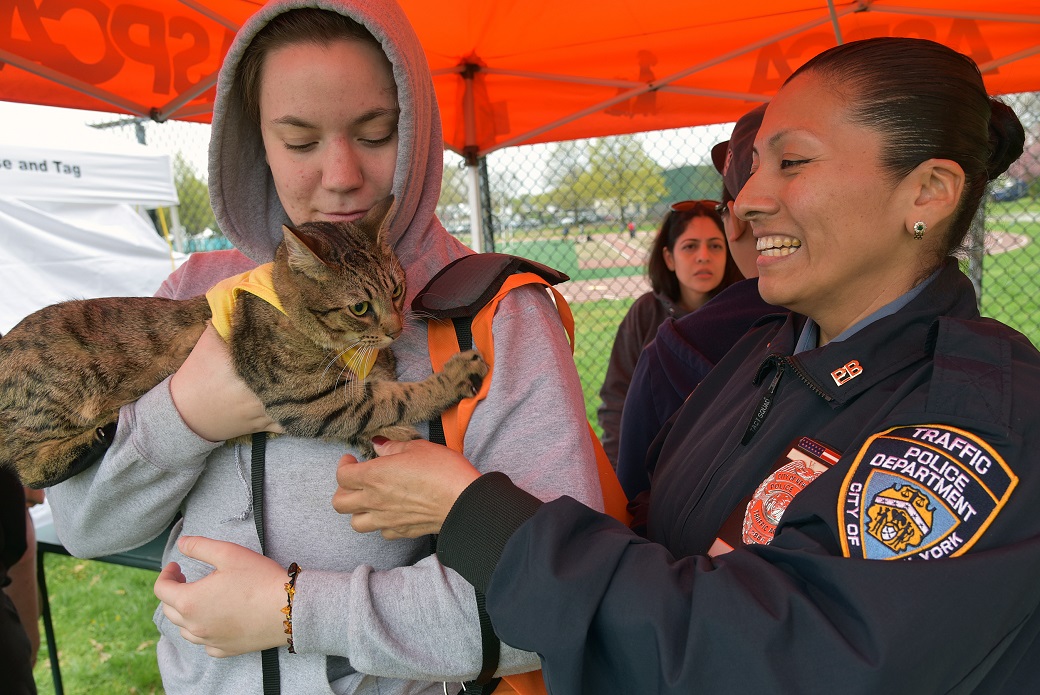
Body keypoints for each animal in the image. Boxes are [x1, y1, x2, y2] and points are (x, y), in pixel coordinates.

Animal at [0, 196, 486, 488]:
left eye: (398, 290)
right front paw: (451, 379)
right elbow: (394, 399)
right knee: (26, 468)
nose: (396, 328)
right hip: (60, 396)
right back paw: (94, 438)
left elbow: (381, 395)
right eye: (360, 307)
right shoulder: (308, 400)